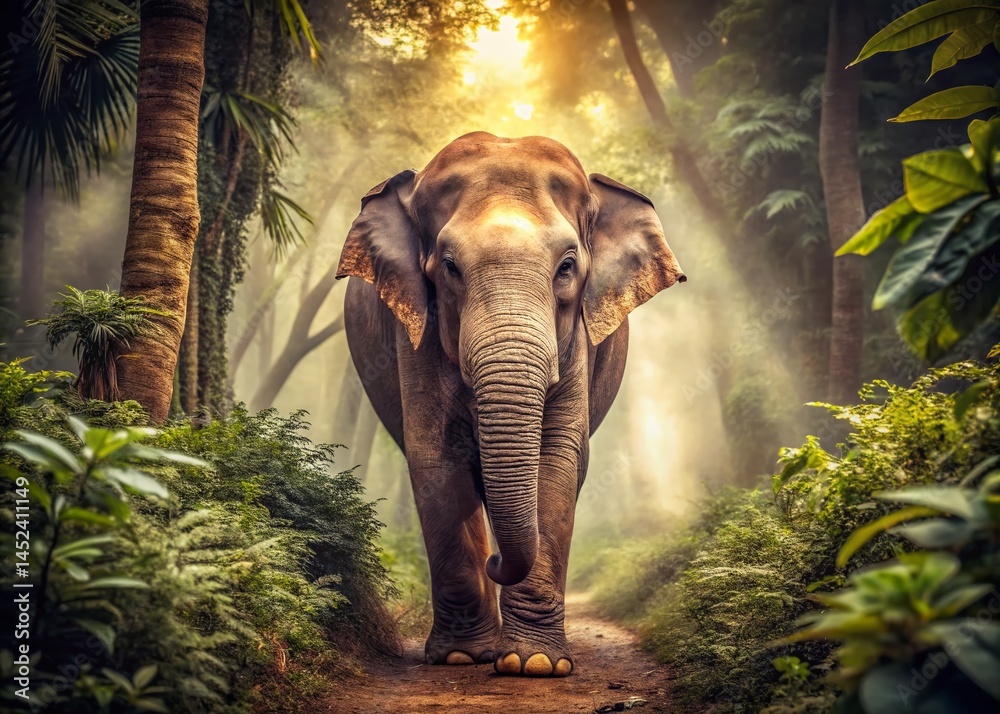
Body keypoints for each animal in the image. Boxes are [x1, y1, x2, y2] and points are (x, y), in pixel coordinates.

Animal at [337, 132, 685, 677]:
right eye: (449, 267)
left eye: (567, 266)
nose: (495, 565)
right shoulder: (413, 332)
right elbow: (435, 457)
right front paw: (461, 657)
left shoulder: (577, 339)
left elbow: (557, 458)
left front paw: (534, 664)